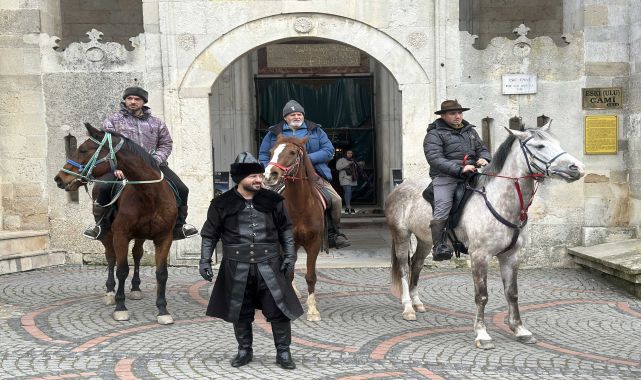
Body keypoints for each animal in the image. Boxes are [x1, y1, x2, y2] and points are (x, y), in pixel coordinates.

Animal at [52, 123, 176, 326]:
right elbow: (121, 270)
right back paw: (110, 292)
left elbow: (161, 273)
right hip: (106, 233)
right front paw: (120, 307)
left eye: (82, 149)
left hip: (141, 236)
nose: (59, 178)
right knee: (110, 258)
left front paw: (163, 310)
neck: (149, 194)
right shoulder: (120, 235)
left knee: (137, 254)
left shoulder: (164, 237)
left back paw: (135, 289)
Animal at [262, 137, 324, 320]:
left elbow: (310, 276)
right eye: (271, 151)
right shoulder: (286, 243)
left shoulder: (314, 243)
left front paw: (312, 310)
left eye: (292, 152)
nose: (269, 175)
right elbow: (287, 274)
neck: (300, 206)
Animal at [384, 123, 584, 348]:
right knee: (404, 267)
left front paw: (520, 329)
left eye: (557, 142)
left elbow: (512, 293)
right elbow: (481, 296)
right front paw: (482, 333)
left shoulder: (511, 256)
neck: (500, 202)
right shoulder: (479, 256)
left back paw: (417, 302)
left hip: (425, 240)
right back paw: (408, 307)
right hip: (401, 235)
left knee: (416, 265)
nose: (577, 168)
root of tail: (399, 187)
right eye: (540, 145)